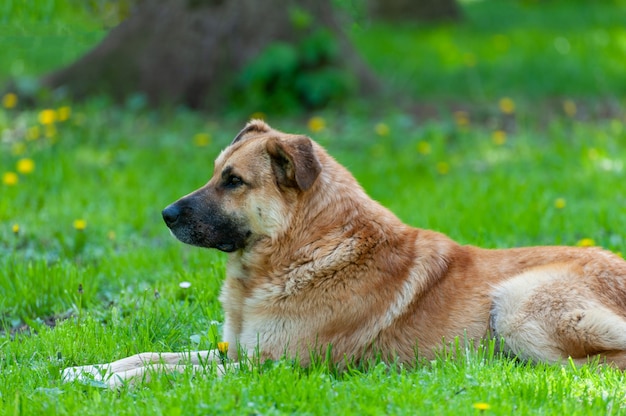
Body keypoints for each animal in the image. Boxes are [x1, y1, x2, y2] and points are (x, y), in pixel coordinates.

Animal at [62, 119, 626, 386]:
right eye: (215, 173)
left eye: (233, 181)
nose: (165, 215)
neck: (303, 248)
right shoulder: (238, 352)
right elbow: (151, 356)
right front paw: (89, 371)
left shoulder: (271, 367)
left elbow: (164, 370)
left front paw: (112, 384)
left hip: (516, 305)